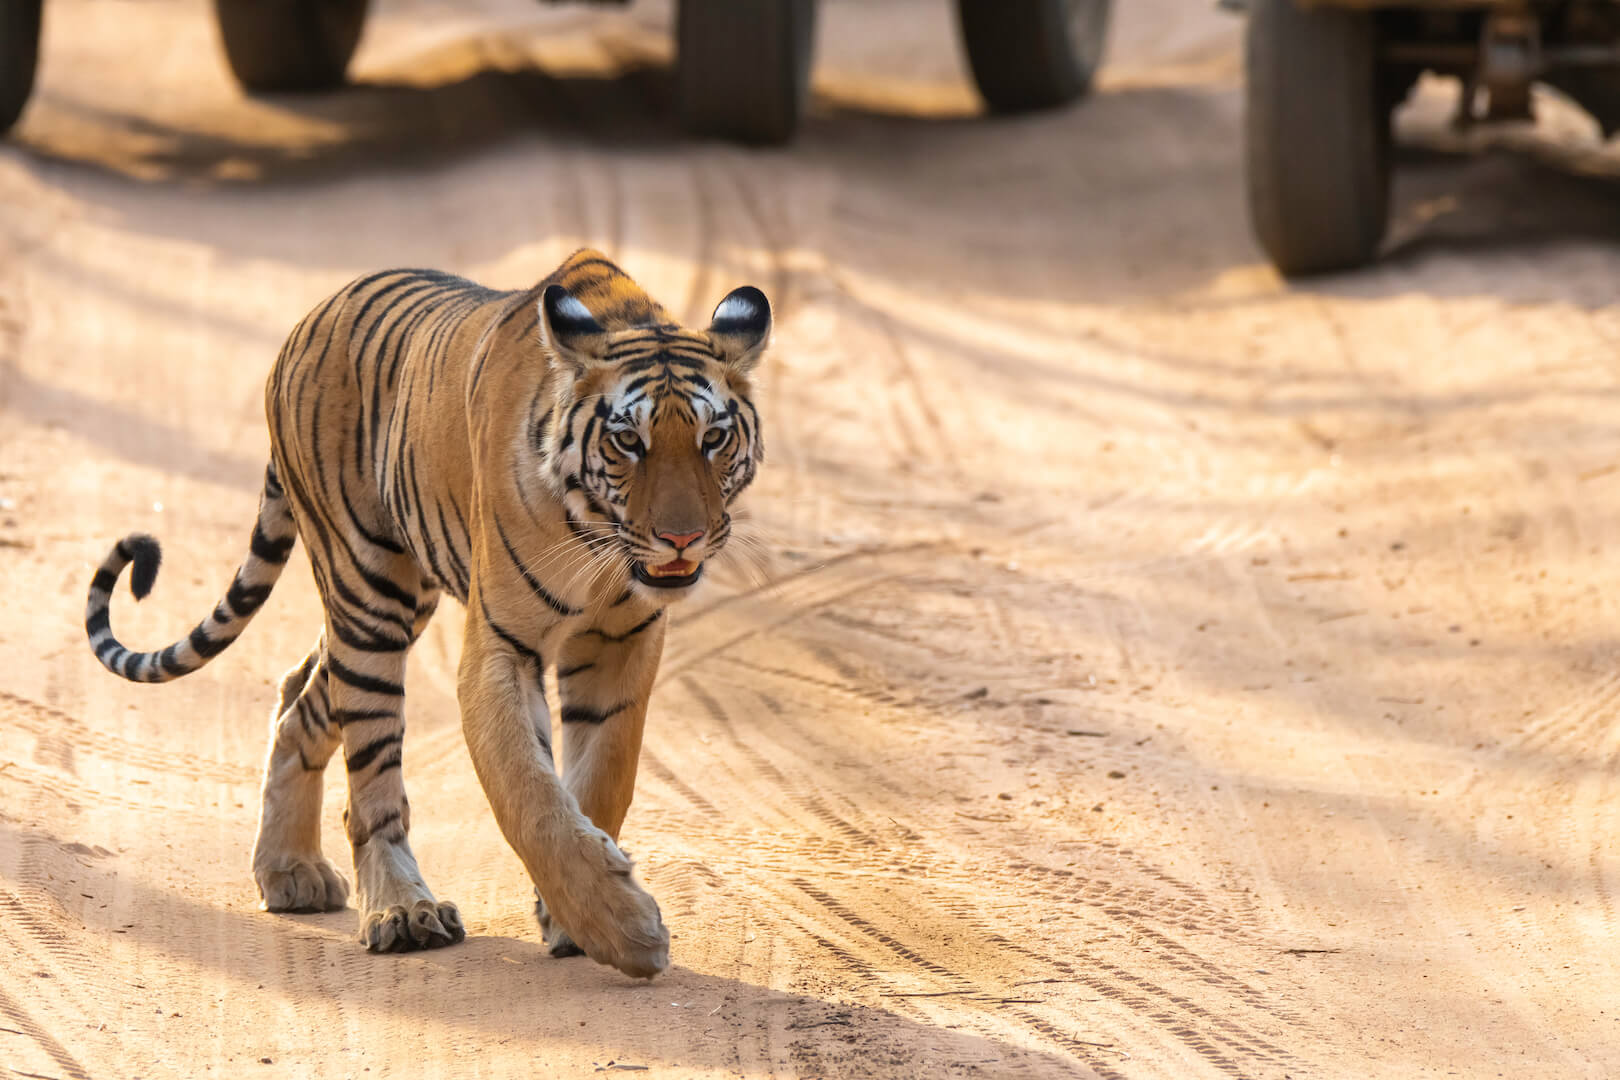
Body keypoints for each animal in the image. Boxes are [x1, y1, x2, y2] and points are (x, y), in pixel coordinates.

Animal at [83, 249, 772, 979]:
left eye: (714, 438)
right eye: (628, 443)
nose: (681, 538)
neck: (599, 540)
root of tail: (307, 323)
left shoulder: (624, 639)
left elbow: (604, 778)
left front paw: (573, 918)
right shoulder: (500, 643)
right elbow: (529, 795)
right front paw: (625, 931)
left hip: (394, 605)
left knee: (300, 695)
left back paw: (291, 872)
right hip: (368, 596)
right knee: (371, 779)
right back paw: (402, 911)